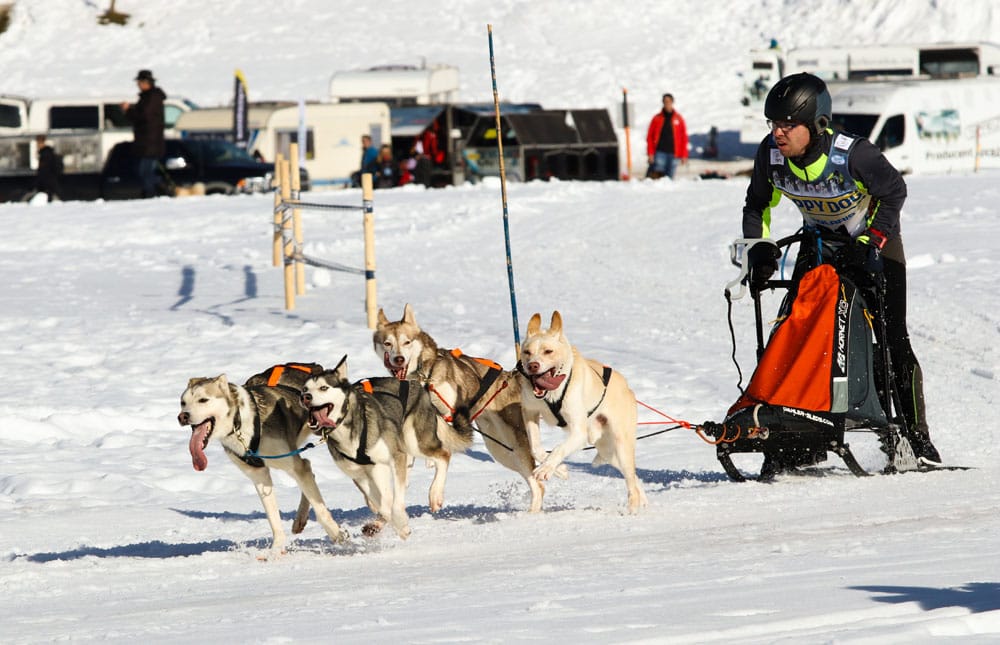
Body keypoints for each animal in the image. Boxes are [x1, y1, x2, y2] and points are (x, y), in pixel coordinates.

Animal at [516, 312, 648, 512]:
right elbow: (536, 448)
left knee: (631, 481)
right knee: (633, 476)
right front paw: (559, 470)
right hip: (609, 452)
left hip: (622, 445)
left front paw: (547, 468)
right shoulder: (530, 412)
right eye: (527, 352)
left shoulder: (578, 433)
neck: (553, 394)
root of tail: (627, 387)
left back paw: (633, 508)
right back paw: (643, 500)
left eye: (548, 351)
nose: (533, 366)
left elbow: (558, 448)